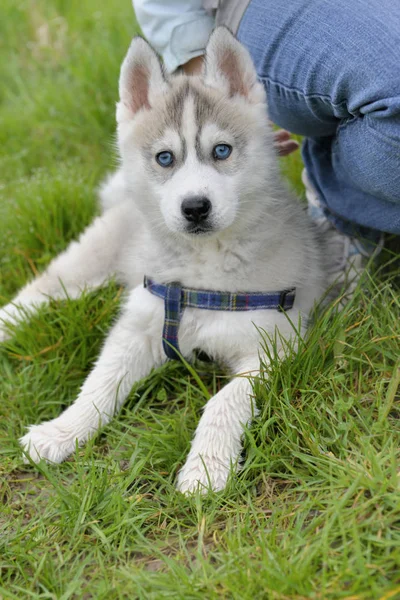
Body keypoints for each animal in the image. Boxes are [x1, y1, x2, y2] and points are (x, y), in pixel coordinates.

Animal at [0, 27, 324, 492]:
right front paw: (61, 432)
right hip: (87, 264)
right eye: (165, 158)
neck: (202, 274)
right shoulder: (139, 326)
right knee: (37, 293)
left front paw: (207, 466)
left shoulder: (273, 346)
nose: (195, 207)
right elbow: (98, 385)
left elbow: (225, 399)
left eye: (221, 151)